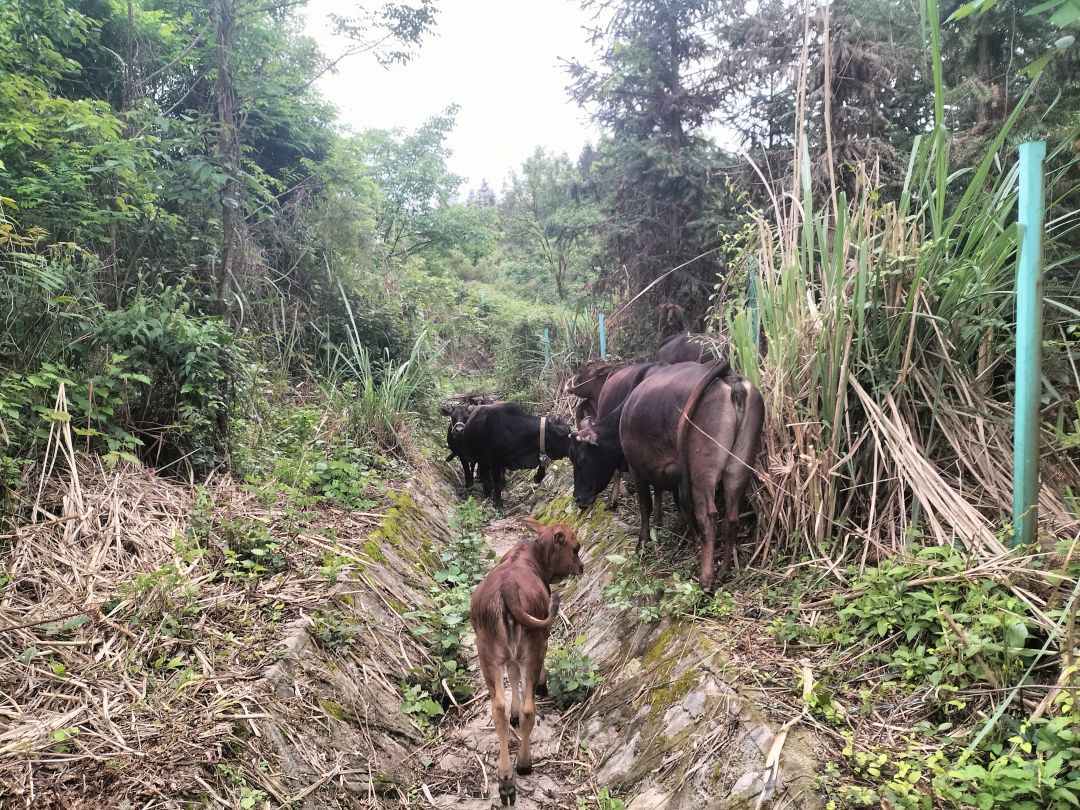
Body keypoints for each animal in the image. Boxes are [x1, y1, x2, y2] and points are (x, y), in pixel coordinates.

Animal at [470, 520, 587, 807]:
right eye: (576, 548)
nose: (581, 566)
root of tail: (507, 591)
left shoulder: (510, 659)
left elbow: (513, 678)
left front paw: (512, 709)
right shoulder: (540, 641)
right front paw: (542, 685)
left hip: (486, 655)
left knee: (498, 709)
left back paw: (505, 780)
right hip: (532, 648)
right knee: (529, 710)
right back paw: (523, 764)